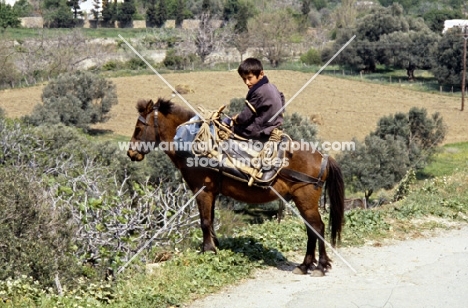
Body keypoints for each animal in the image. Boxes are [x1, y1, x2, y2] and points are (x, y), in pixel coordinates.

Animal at [126, 98, 346, 274]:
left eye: (138, 128)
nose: (131, 153)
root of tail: (323, 158)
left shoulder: (202, 191)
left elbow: (204, 222)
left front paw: (208, 250)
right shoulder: (212, 193)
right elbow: (211, 221)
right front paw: (215, 246)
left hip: (305, 200)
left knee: (318, 227)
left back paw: (320, 266)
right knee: (311, 229)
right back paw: (305, 265)